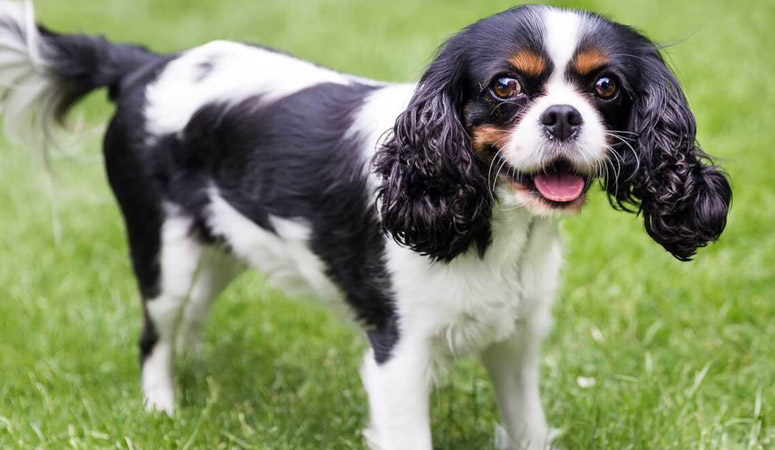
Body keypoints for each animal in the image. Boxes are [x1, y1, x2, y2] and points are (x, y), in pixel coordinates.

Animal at [0, 1, 732, 448]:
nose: (562, 116)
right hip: (164, 255)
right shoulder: (398, 356)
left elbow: (526, 426)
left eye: (604, 86)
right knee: (154, 334)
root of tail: (146, 64)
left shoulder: (517, 340)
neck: (493, 221)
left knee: (192, 316)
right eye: (505, 86)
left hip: (223, 246)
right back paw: (163, 409)